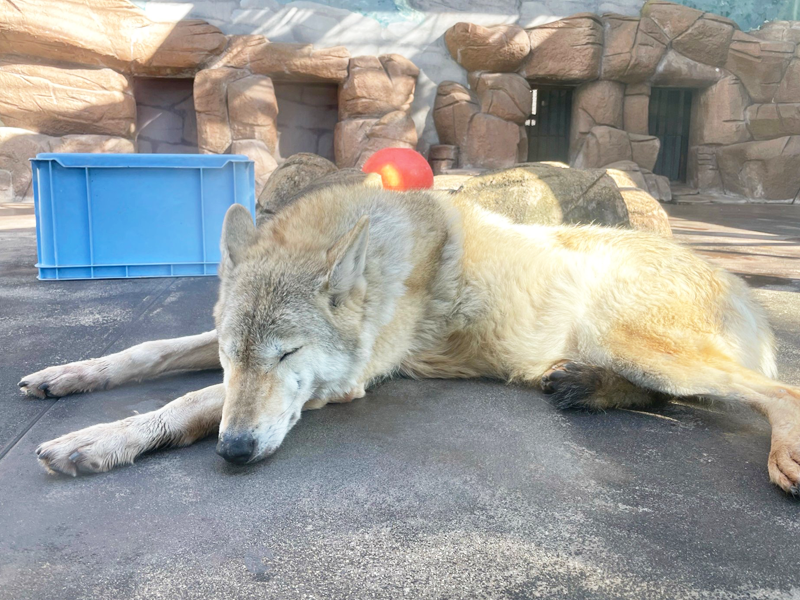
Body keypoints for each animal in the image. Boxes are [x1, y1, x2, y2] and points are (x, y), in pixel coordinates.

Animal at [18, 177, 800, 492]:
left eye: (288, 353)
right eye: (233, 354)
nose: (235, 453)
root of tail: (742, 285)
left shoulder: (339, 386)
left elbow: (185, 403)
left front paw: (97, 440)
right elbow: (147, 352)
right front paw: (70, 376)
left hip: (643, 348)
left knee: (775, 391)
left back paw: (786, 457)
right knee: (672, 398)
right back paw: (580, 386)